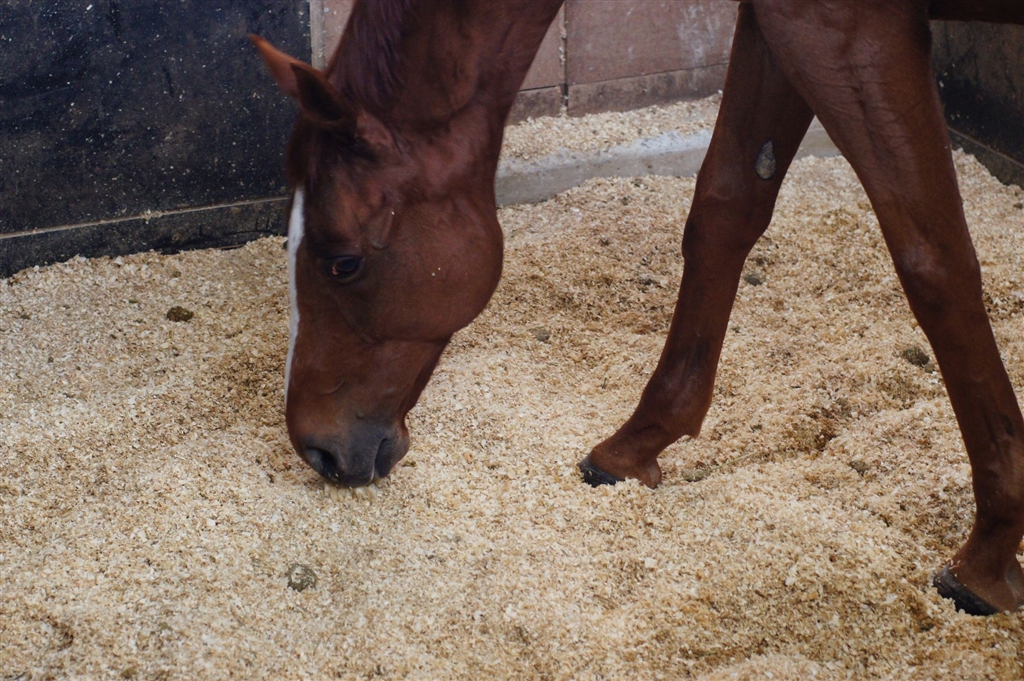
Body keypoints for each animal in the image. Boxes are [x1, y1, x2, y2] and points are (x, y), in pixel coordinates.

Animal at [252, 0, 1024, 616]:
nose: (316, 446)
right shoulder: (783, 22)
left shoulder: (847, 26)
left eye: (342, 260)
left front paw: (988, 555)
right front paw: (635, 445)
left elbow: (933, 259)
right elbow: (726, 206)